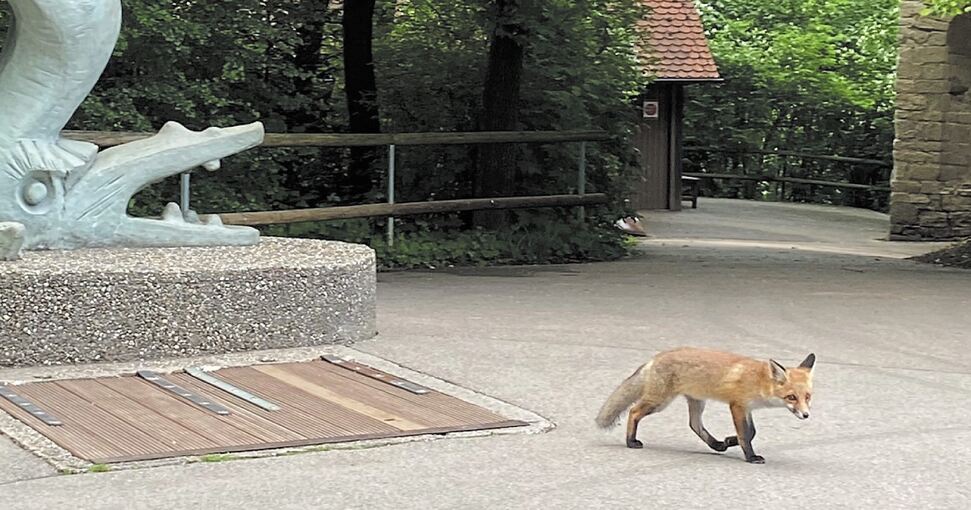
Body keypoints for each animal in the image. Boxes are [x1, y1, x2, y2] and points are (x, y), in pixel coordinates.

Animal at [596, 348, 816, 464]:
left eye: (807, 397)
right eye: (791, 397)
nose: (806, 415)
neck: (759, 381)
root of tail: (655, 357)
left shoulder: (747, 408)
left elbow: (752, 432)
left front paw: (729, 440)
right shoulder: (737, 405)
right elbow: (746, 435)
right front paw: (751, 456)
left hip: (697, 401)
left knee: (694, 425)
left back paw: (717, 444)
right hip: (659, 402)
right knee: (634, 411)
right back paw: (630, 441)